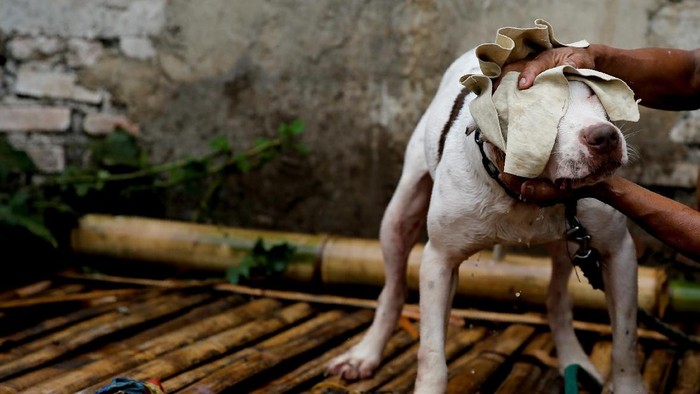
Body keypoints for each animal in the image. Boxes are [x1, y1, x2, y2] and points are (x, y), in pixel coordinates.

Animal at [328, 48, 644, 394]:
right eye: (538, 110)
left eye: (594, 94)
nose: (605, 136)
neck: (521, 197)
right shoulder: (439, 260)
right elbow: (431, 352)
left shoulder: (618, 252)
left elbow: (625, 343)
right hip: (398, 215)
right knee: (393, 290)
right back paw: (364, 355)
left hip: (569, 246)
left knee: (558, 300)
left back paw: (572, 359)